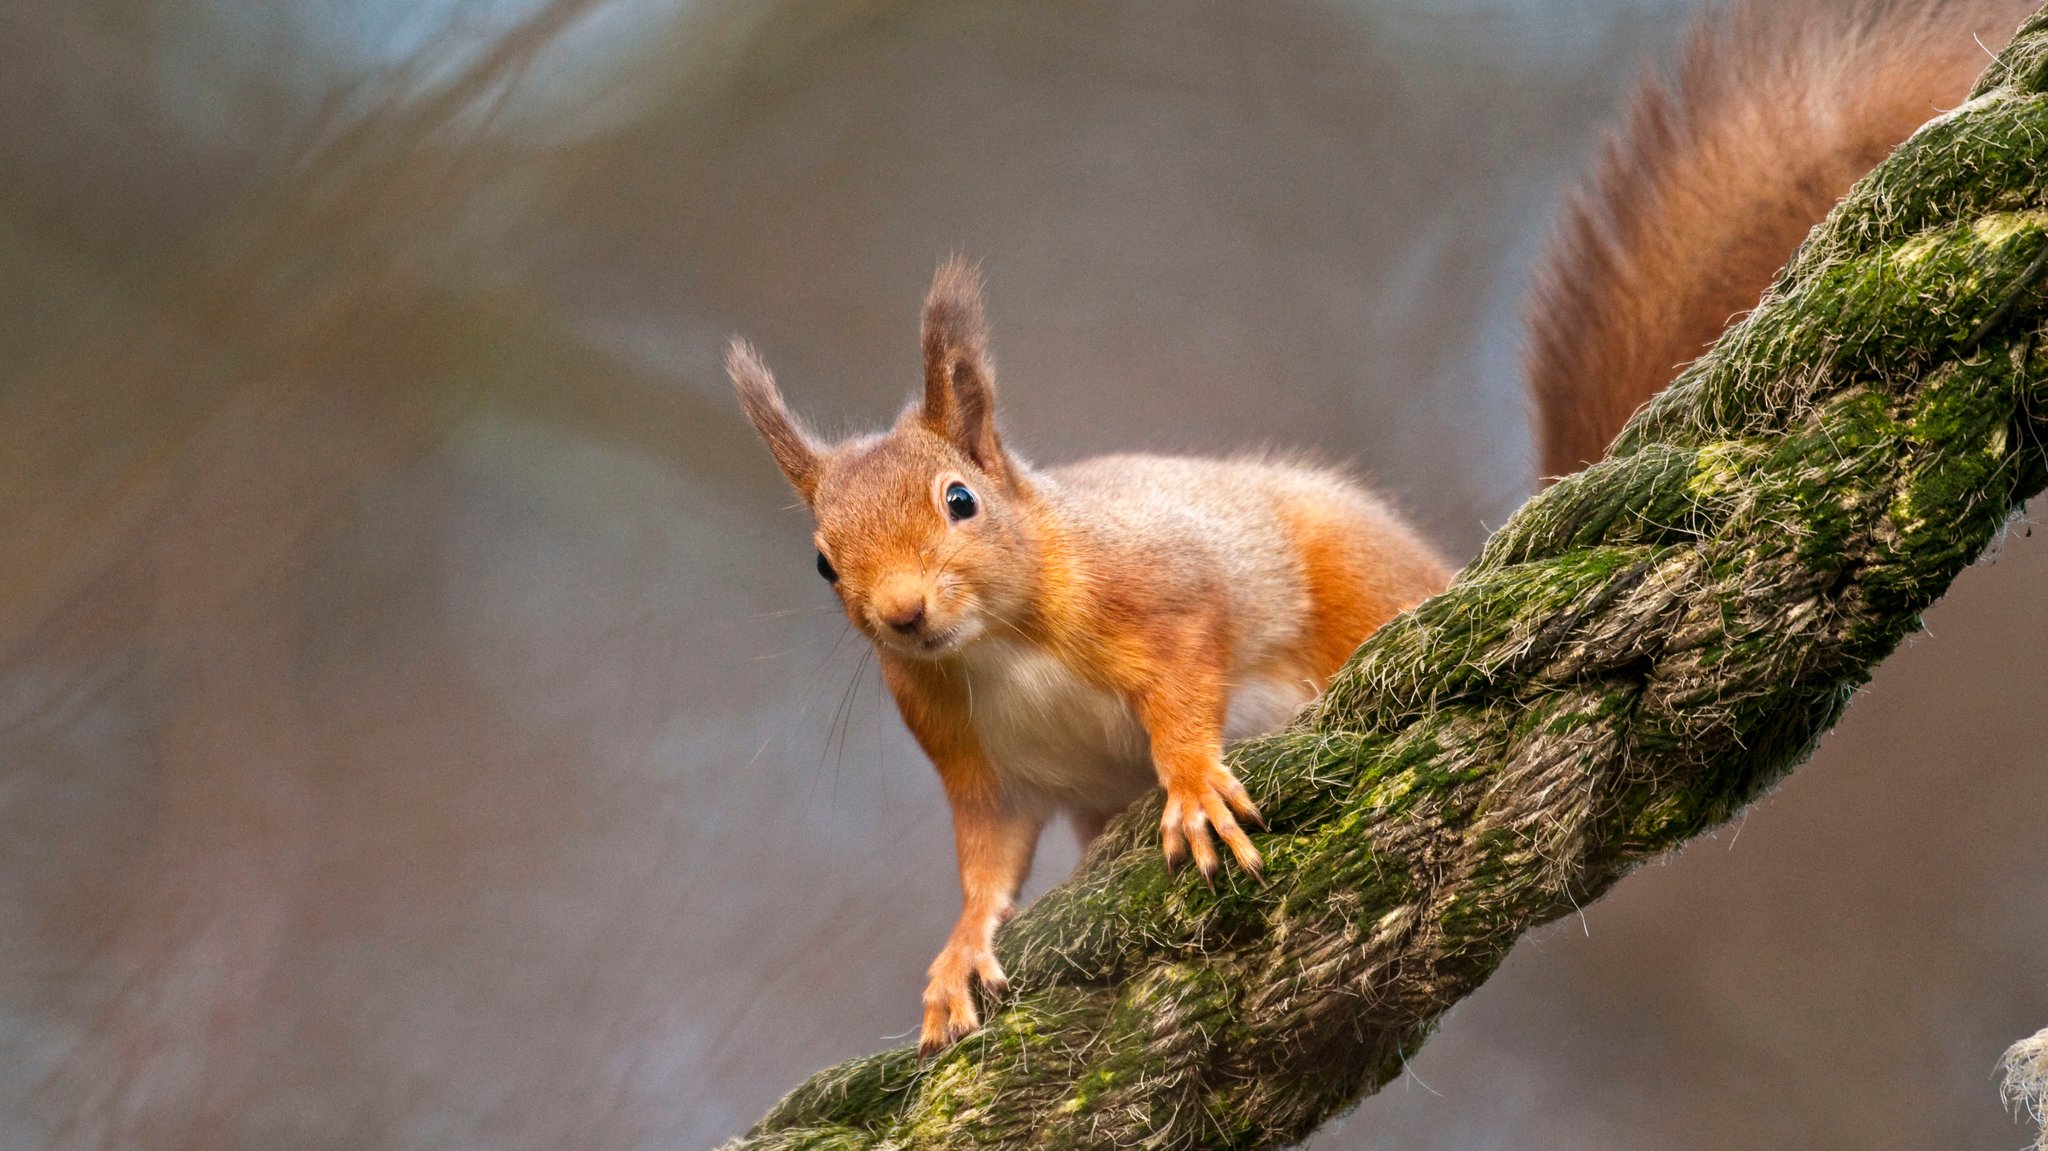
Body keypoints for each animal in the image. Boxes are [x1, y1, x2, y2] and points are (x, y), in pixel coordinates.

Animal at [729, 0, 2023, 1056]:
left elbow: (1187, 669)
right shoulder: (970, 756)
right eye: (822, 561)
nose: (903, 612)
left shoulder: (1157, 584)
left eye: (961, 500)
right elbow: (985, 863)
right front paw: (956, 956)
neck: (997, 639)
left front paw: (1190, 785)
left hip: (1346, 578)